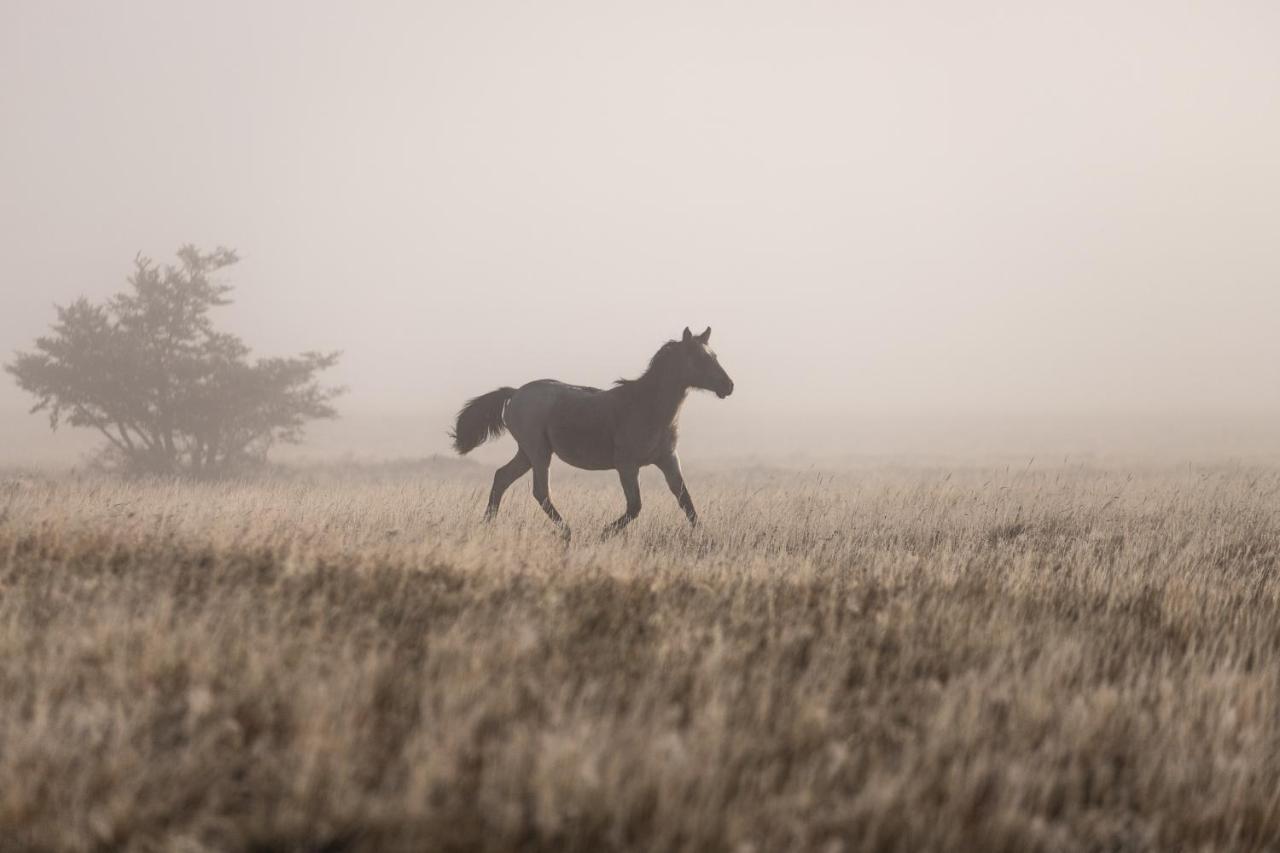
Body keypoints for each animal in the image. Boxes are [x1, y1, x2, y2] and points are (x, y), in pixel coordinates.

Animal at [450, 322, 737, 535]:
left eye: (714, 356)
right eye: (698, 358)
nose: (729, 386)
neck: (647, 407)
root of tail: (515, 393)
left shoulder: (668, 460)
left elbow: (686, 501)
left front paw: (705, 537)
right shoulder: (627, 465)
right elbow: (635, 506)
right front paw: (604, 533)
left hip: (527, 453)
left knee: (502, 477)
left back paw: (488, 524)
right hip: (538, 452)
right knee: (540, 492)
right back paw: (568, 532)